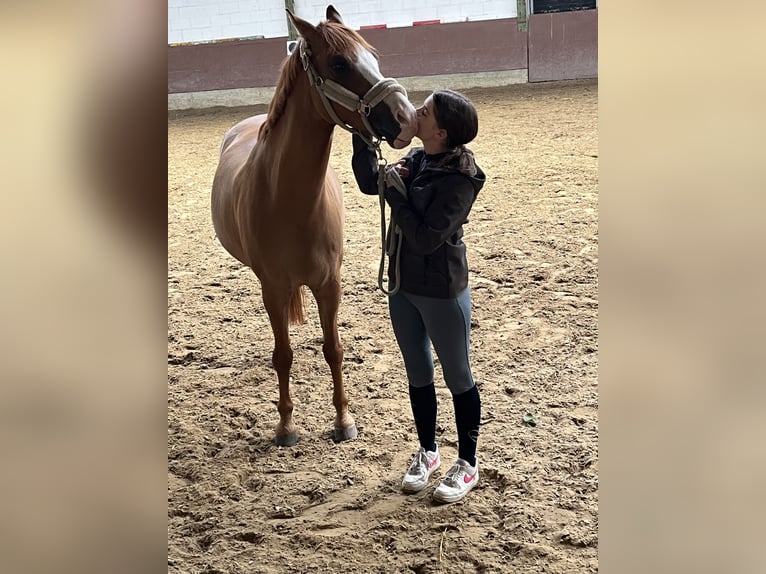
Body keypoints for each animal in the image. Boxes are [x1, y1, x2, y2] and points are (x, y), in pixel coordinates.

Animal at [210, 4, 420, 448]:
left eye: (373, 55)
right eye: (339, 63)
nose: (406, 117)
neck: (292, 202)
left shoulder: (330, 283)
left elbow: (334, 349)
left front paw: (343, 420)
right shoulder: (273, 288)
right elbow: (283, 354)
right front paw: (286, 426)